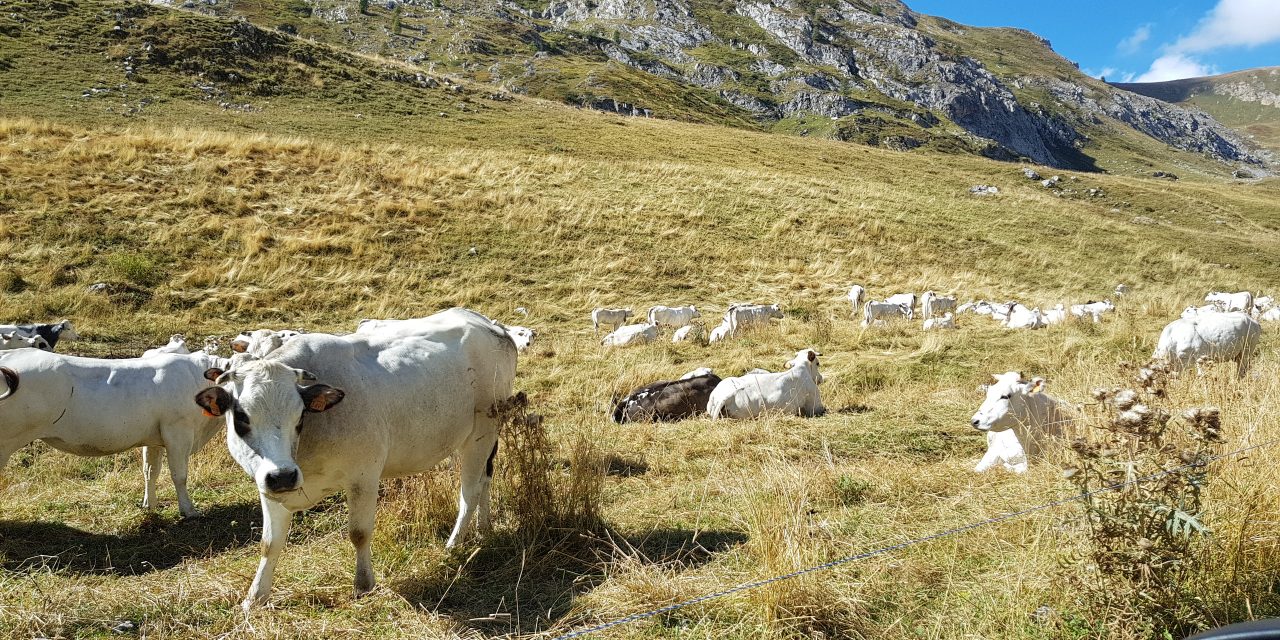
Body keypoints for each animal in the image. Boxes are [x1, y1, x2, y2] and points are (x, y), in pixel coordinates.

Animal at [0, 348, 227, 517]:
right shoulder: (178, 432)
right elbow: (179, 475)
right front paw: (189, 510)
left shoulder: (155, 437)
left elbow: (150, 471)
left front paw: (150, 504)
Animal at [192, 307, 512, 606]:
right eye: (241, 417)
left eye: (300, 416)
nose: (284, 475)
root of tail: (488, 323)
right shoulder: (269, 487)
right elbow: (270, 543)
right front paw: (255, 596)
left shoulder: (364, 477)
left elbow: (359, 533)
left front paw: (363, 585)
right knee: (485, 478)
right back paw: (484, 529)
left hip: (482, 432)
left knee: (470, 492)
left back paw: (454, 544)